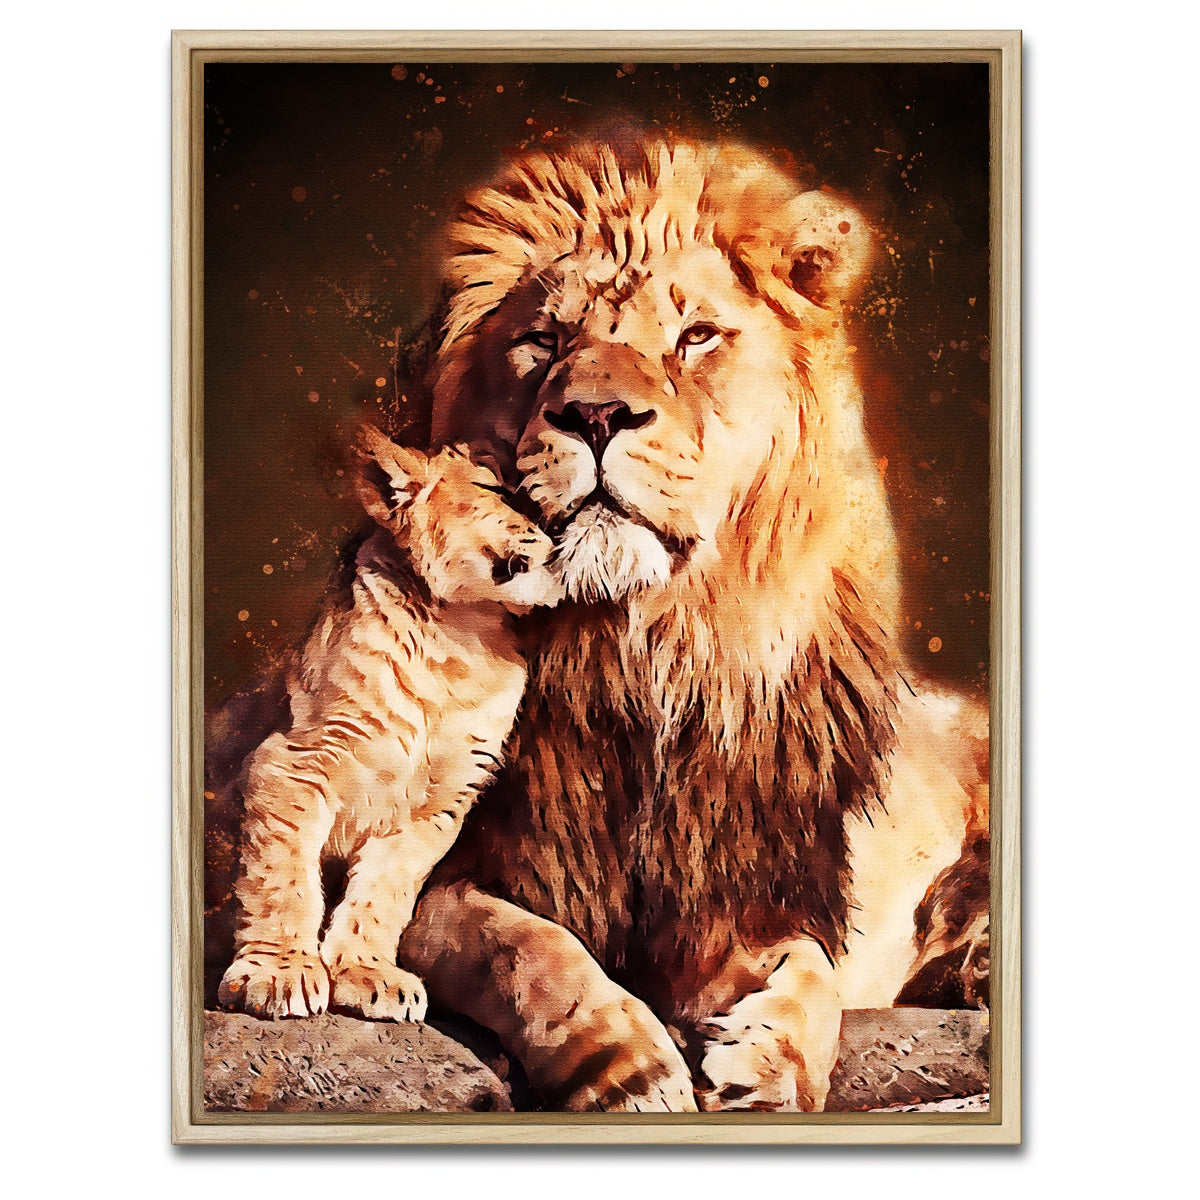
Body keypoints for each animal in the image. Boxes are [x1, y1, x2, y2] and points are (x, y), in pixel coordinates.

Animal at [217, 426, 562, 1023]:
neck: (458, 639)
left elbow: (386, 890)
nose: (562, 532)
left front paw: (366, 973)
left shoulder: (438, 805)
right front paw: (278, 972)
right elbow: (282, 875)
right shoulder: (291, 761)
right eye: (498, 490)